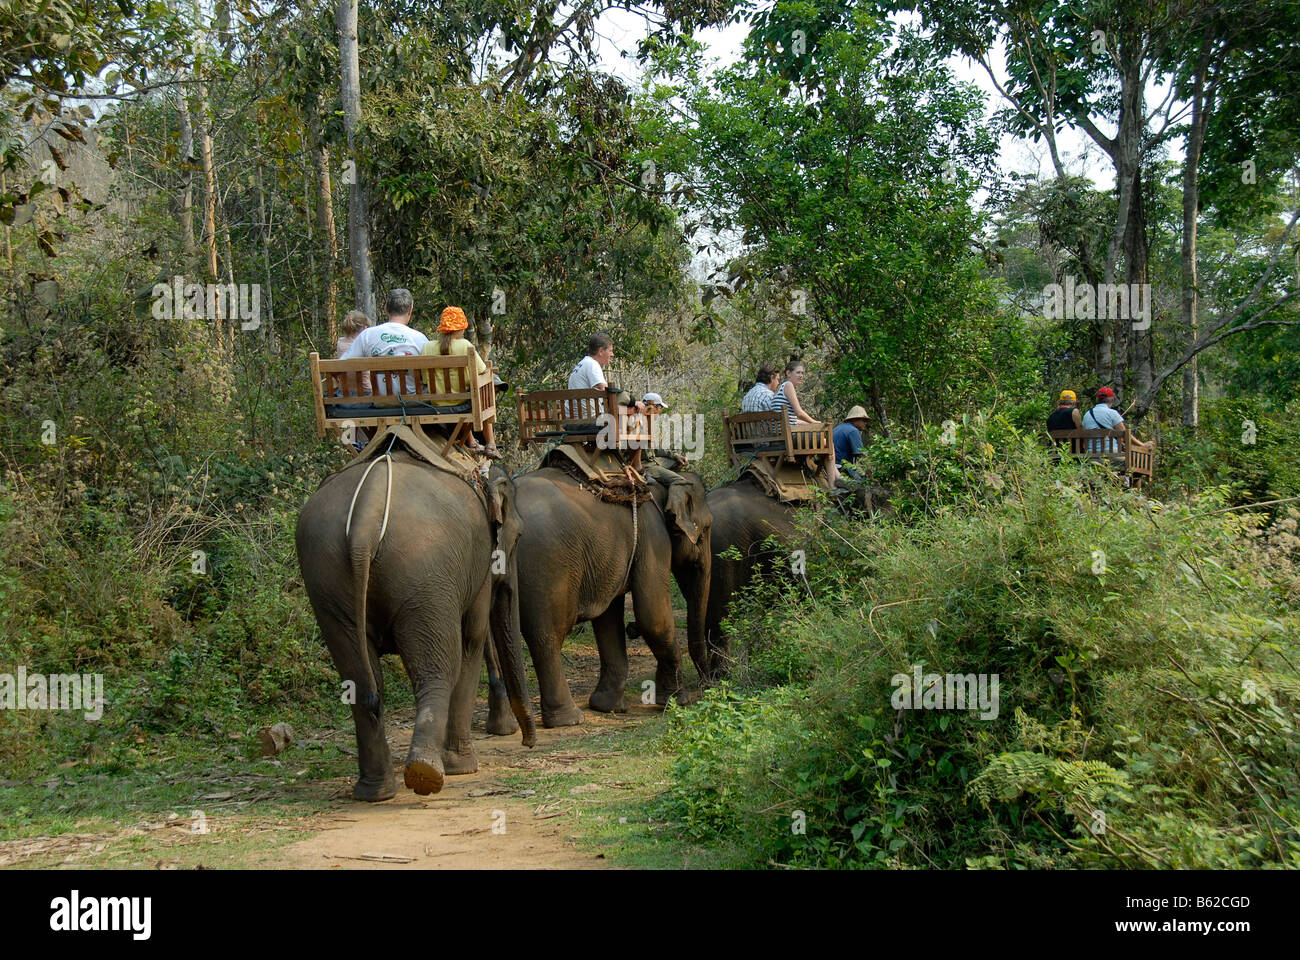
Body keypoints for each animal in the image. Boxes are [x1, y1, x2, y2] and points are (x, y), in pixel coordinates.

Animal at [297, 447, 535, 801]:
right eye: (518, 537)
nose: (528, 741)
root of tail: (365, 519)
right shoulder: (477, 572)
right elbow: (472, 638)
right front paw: (463, 768)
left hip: (326, 575)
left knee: (360, 683)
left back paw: (375, 792)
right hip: (425, 575)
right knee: (437, 669)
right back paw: (427, 774)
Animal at [491, 457, 717, 723]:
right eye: (707, 528)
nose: (707, 685)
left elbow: (608, 618)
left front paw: (606, 706)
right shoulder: (653, 536)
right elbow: (653, 617)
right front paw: (677, 701)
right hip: (546, 567)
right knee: (546, 634)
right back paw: (568, 719)